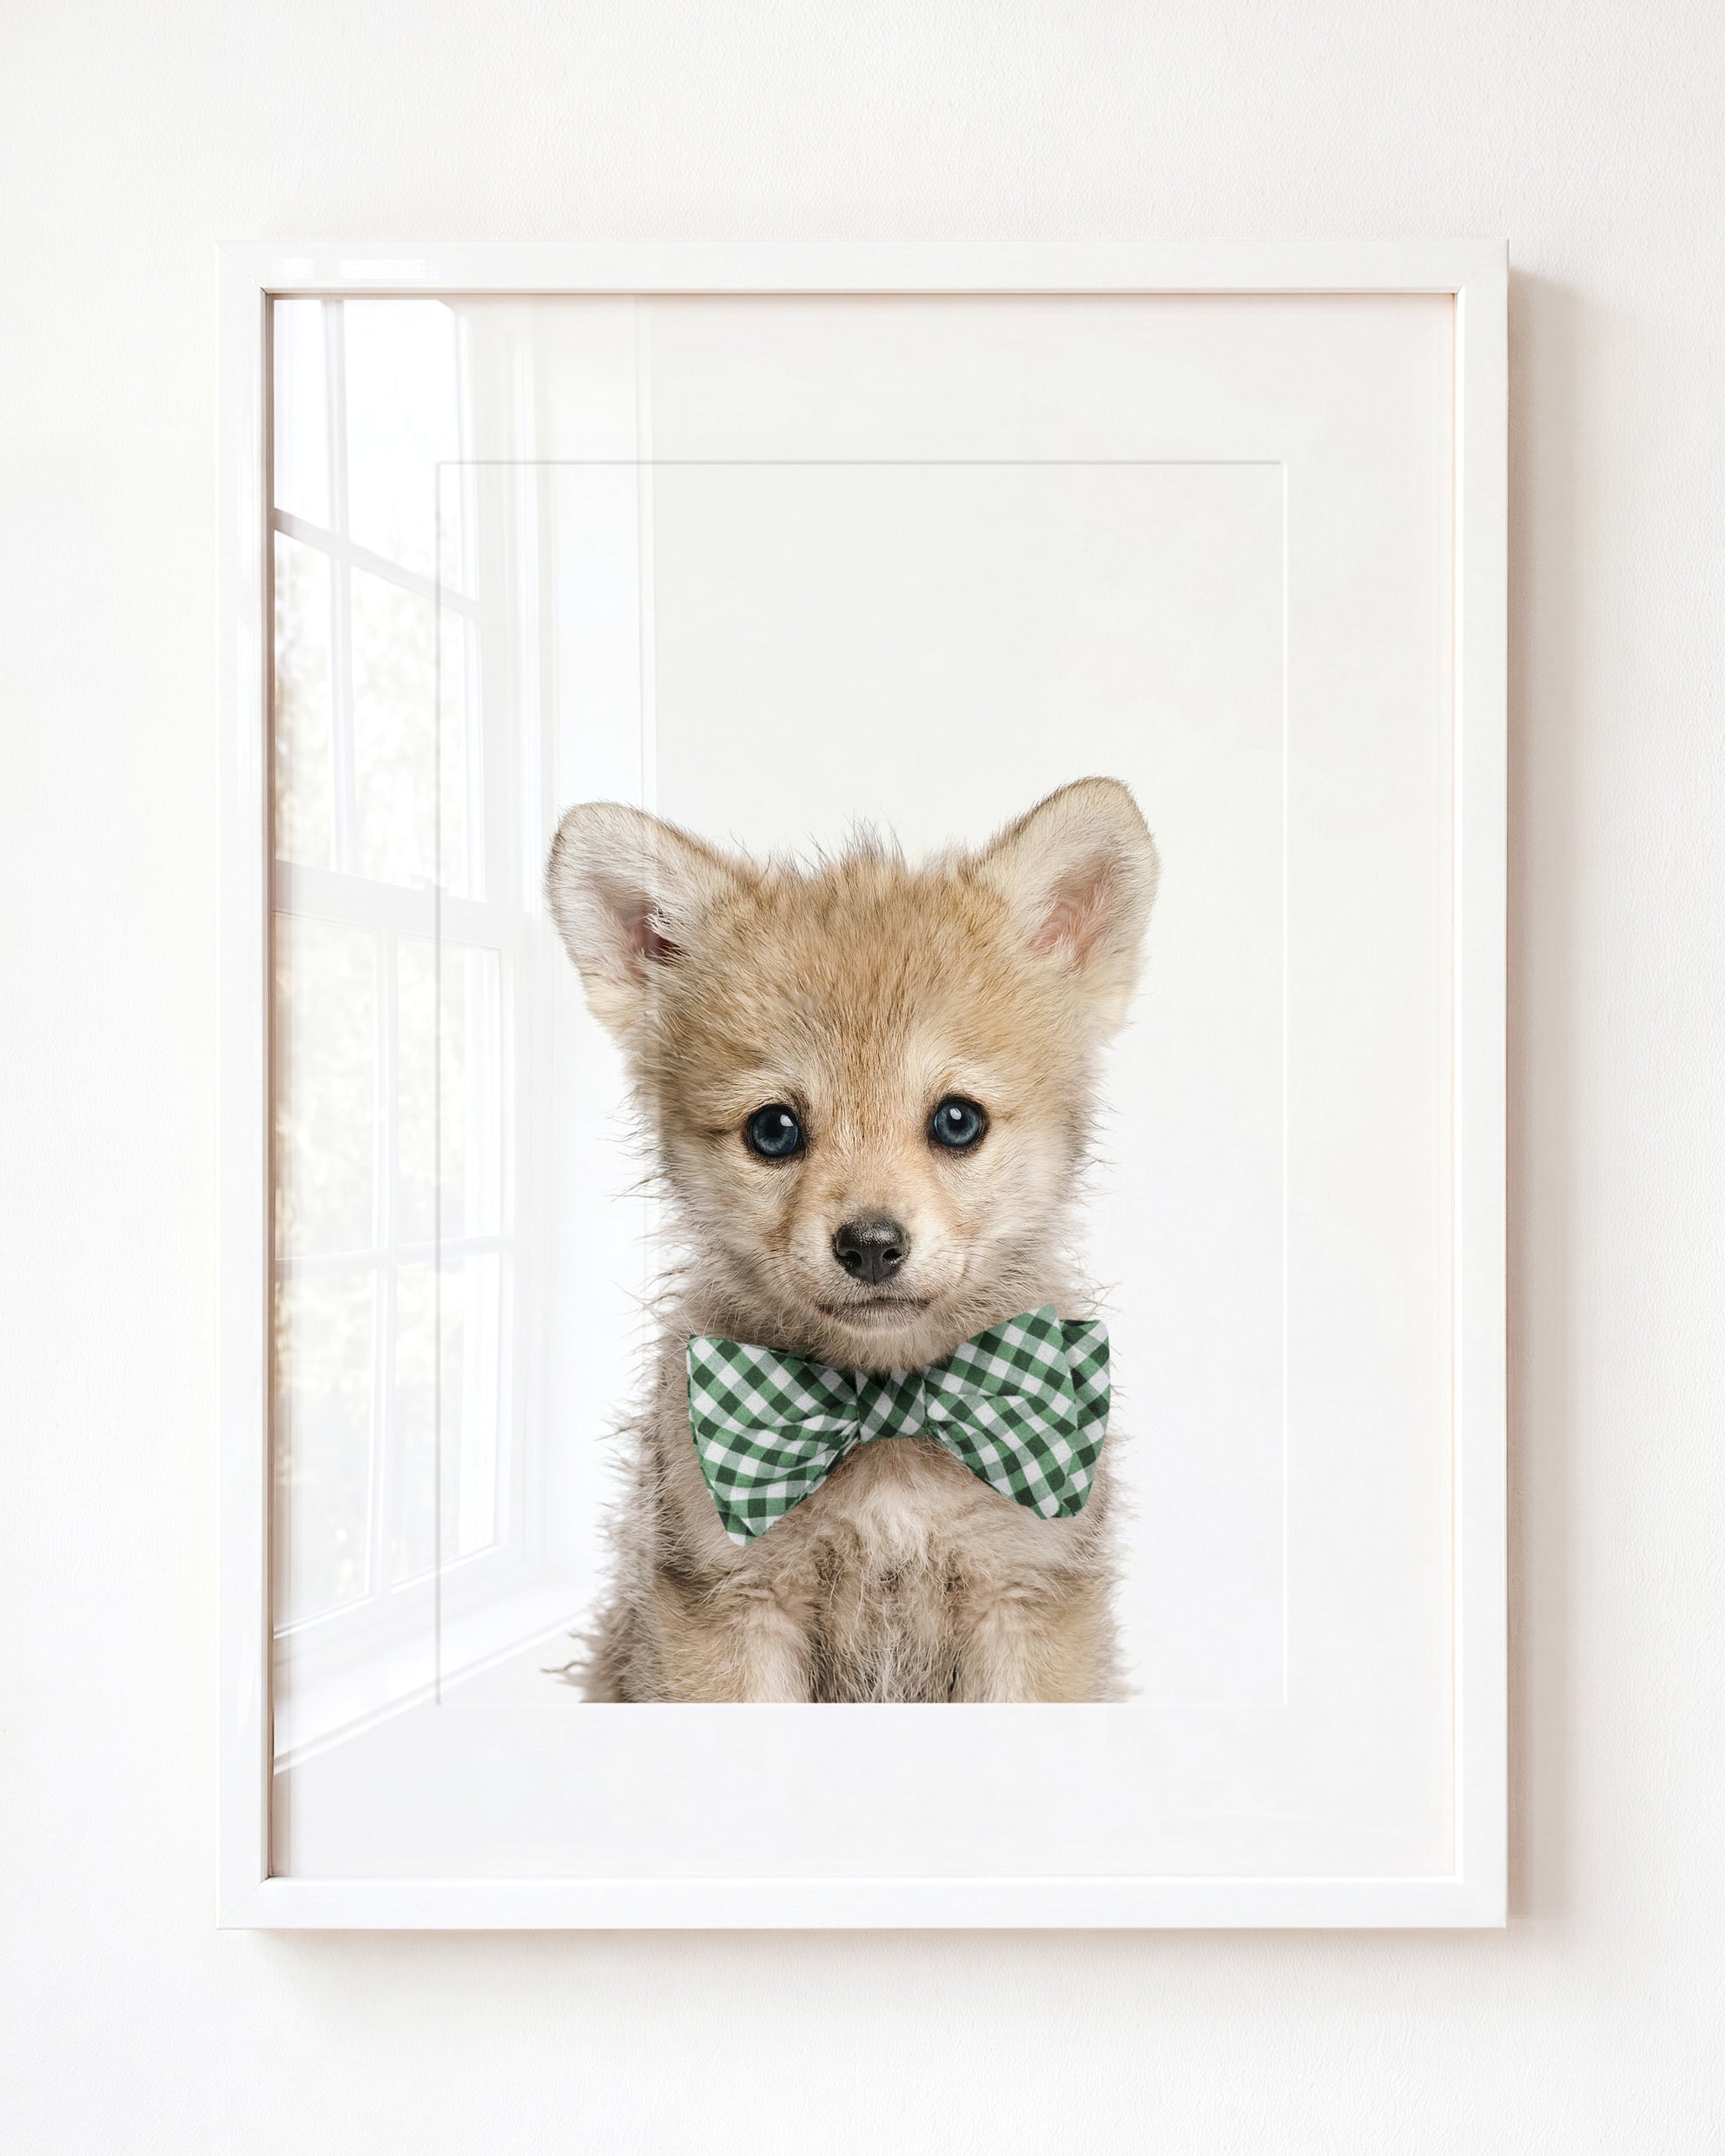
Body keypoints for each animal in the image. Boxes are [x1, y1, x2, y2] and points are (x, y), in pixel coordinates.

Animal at [545, 777, 1158, 1701]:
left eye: (957, 1121)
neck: (888, 1421)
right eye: (773, 1131)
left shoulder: (1025, 1598)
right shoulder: (733, 1605)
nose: (871, 1245)